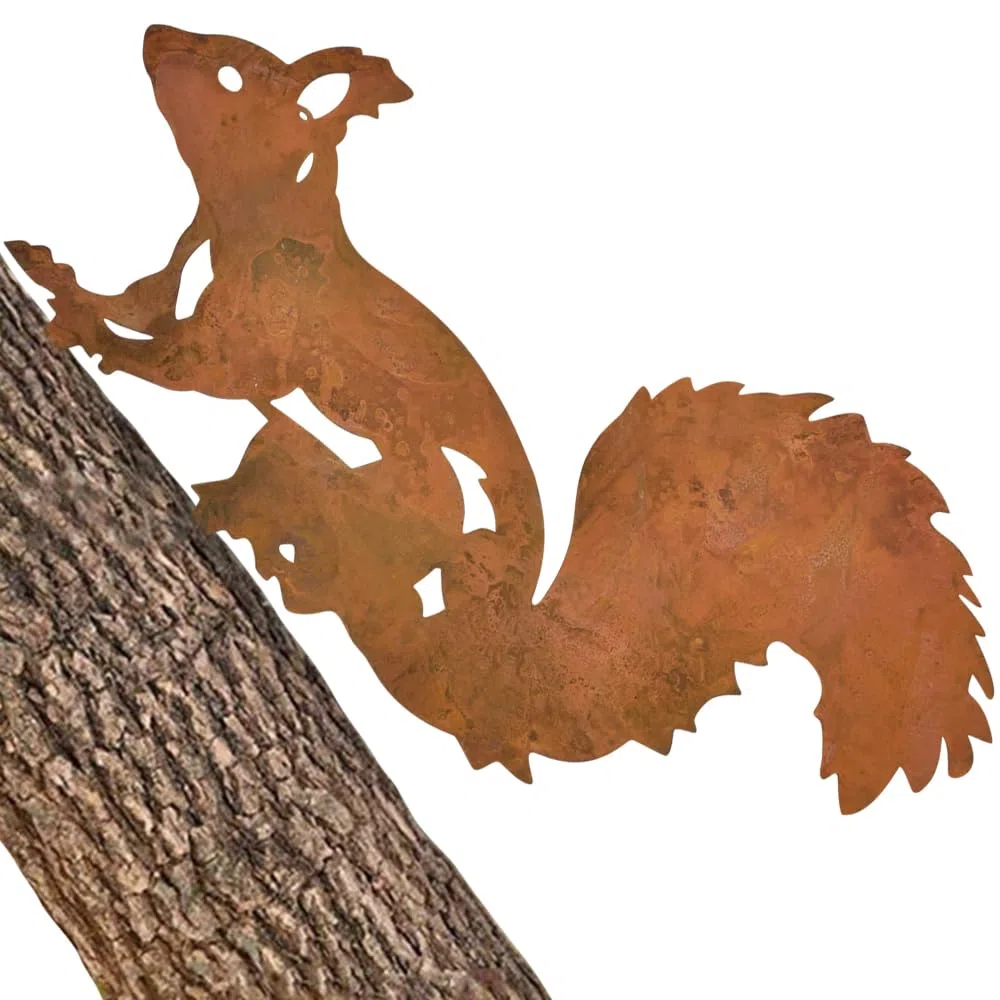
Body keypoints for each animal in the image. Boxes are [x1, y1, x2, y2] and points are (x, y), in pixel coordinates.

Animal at [7, 24, 992, 814]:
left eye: (231, 78)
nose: (152, 37)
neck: (259, 216)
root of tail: (486, 638)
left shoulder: (263, 333)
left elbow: (190, 368)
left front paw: (82, 329)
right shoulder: (183, 273)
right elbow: (142, 300)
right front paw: (57, 276)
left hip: (388, 503)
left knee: (348, 539)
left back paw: (288, 551)